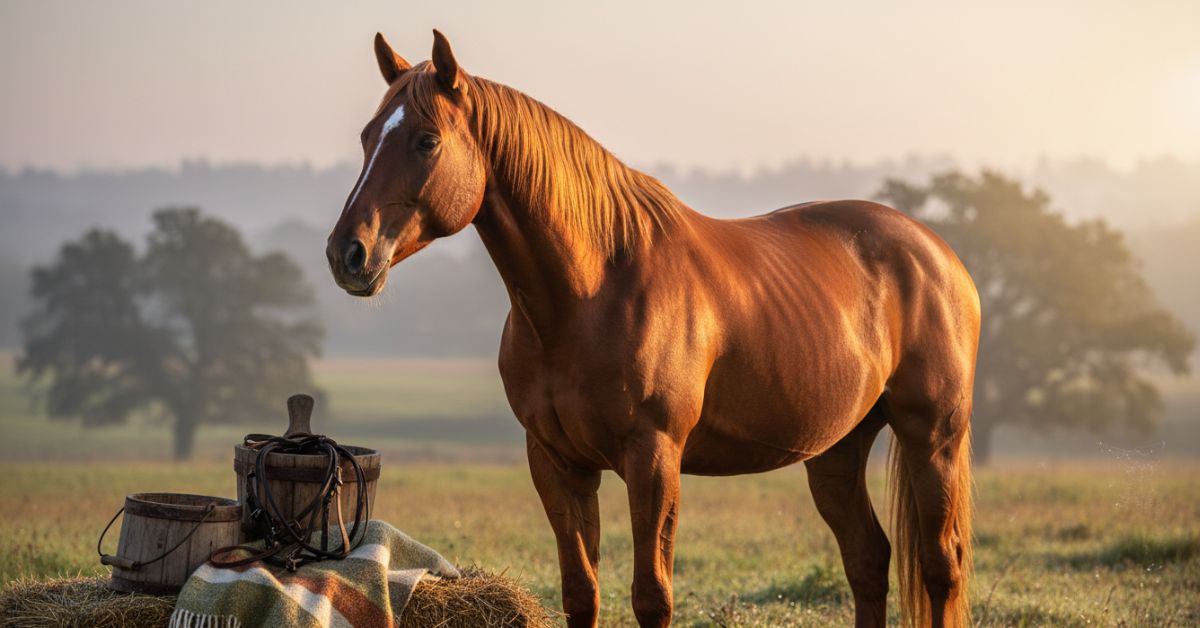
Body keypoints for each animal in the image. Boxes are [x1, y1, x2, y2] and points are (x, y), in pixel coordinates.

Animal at [327, 30, 979, 628]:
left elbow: (652, 597)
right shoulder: (558, 465)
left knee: (939, 567)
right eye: (366, 136)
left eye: (427, 140)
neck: (592, 292)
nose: (346, 255)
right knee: (868, 559)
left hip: (931, 439)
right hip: (837, 449)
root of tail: (941, 255)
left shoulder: (654, 460)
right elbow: (581, 593)